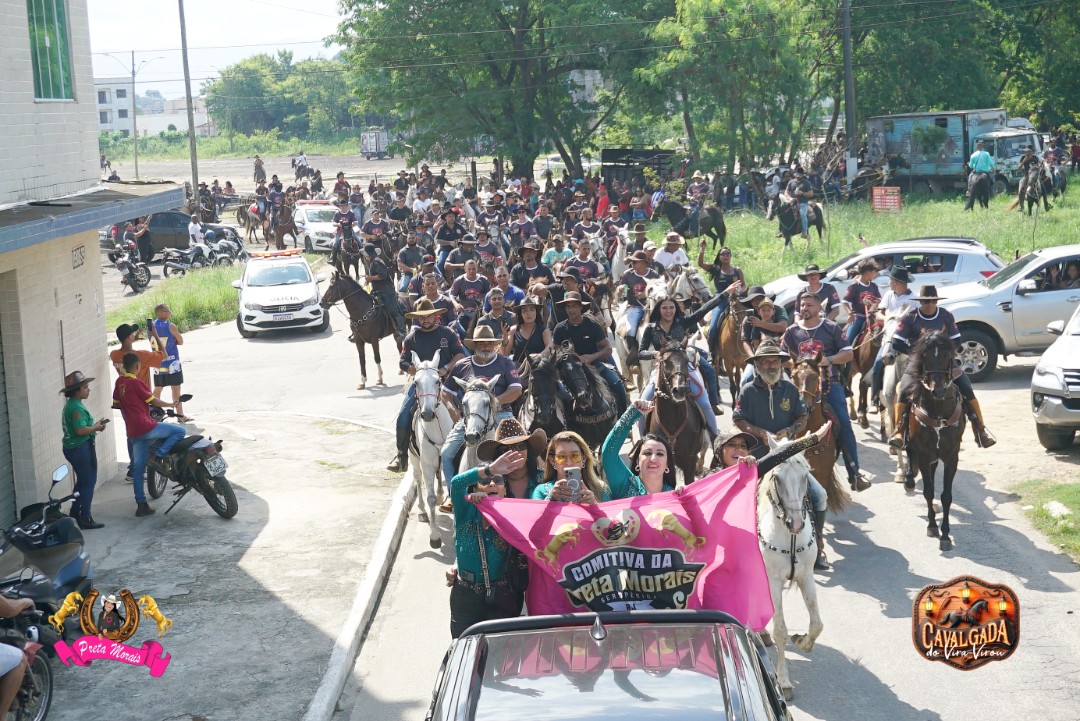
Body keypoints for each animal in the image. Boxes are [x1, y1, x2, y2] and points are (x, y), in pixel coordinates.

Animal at [903, 331, 966, 551]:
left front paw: (945, 535)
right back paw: (908, 478)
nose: (938, 390)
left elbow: (946, 496)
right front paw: (932, 526)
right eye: (926, 356)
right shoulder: (923, 454)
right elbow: (929, 492)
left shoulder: (951, 456)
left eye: (947, 355)